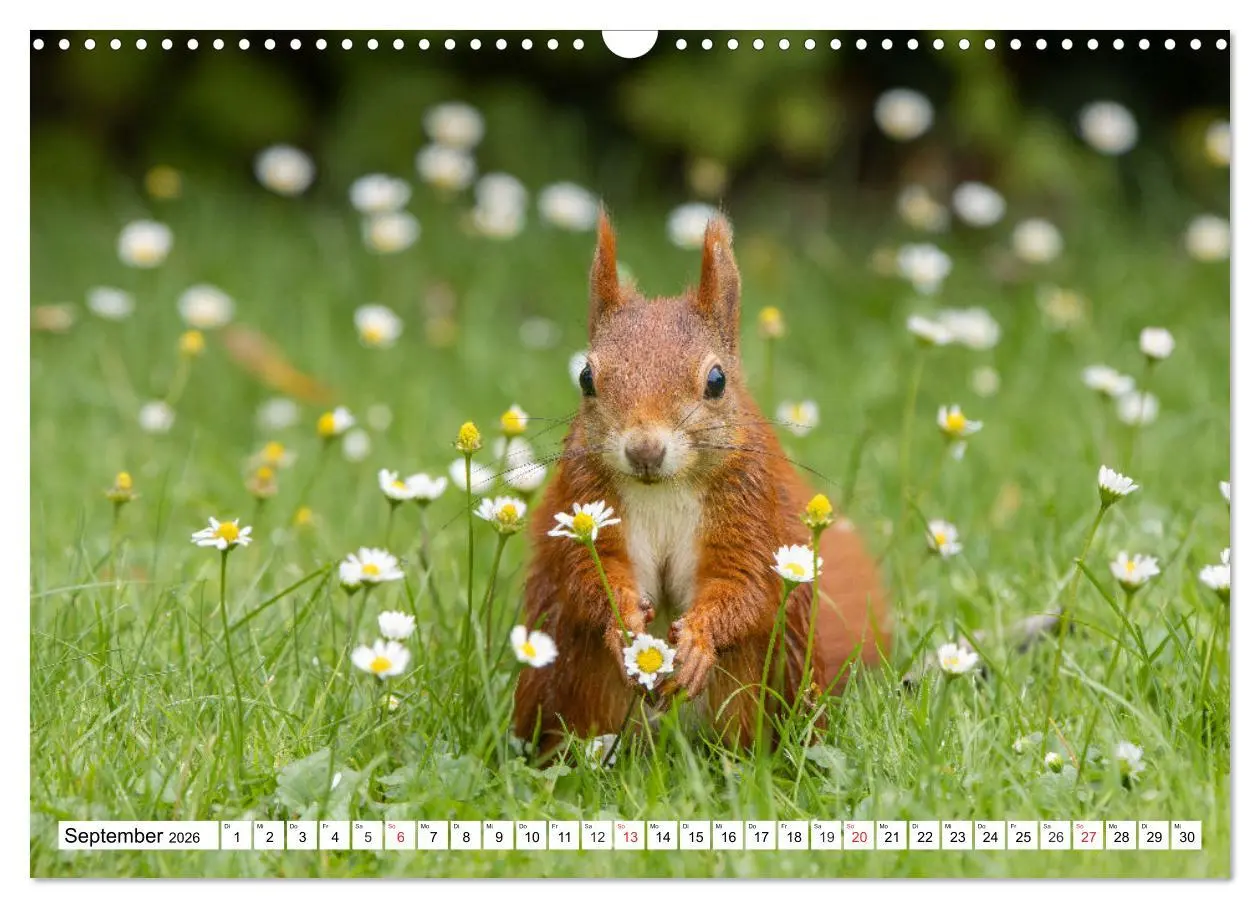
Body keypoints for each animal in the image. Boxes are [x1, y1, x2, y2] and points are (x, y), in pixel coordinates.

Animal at [512, 211, 890, 755]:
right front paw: (623, 623)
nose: (644, 451)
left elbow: (745, 585)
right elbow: (588, 574)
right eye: (585, 377)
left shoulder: (749, 509)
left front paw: (697, 642)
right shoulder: (585, 502)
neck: (663, 489)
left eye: (717, 381)